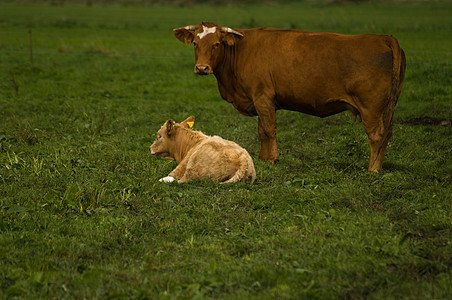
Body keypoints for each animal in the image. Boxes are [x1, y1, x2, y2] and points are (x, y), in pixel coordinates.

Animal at [173, 22, 406, 172]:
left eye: (217, 43)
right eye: (195, 43)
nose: (202, 68)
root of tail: (384, 38)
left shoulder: (263, 97)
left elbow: (269, 129)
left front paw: (273, 159)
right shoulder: (260, 101)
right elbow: (262, 131)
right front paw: (263, 159)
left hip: (371, 108)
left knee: (376, 136)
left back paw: (372, 170)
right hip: (389, 107)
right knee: (387, 134)